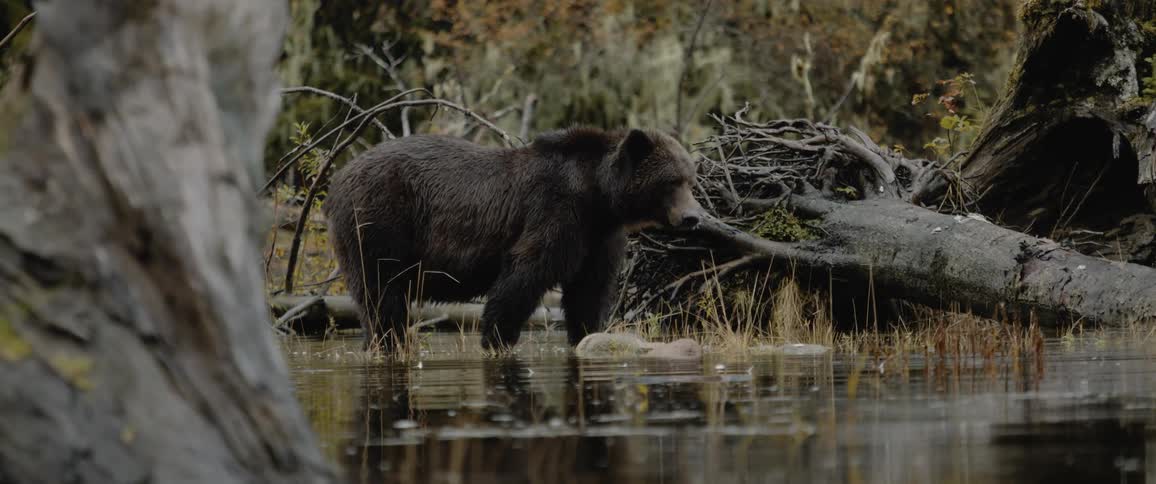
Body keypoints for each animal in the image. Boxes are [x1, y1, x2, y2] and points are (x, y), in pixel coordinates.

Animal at [322, 127, 706, 351]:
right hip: (379, 222)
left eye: (690, 179)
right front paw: (497, 338)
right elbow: (523, 276)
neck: (598, 197)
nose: (693, 217)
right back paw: (388, 342)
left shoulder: (598, 238)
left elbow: (589, 292)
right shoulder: (555, 212)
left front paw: (586, 333)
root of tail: (336, 179)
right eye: (670, 182)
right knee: (381, 294)